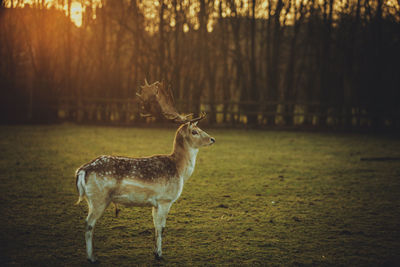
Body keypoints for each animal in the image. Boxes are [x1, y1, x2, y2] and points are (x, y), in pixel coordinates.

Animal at [73, 80, 214, 264]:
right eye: (195, 131)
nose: (212, 139)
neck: (180, 170)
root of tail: (81, 171)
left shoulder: (155, 203)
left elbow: (155, 227)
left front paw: (155, 252)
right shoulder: (165, 199)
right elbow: (162, 228)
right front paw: (160, 254)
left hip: (92, 199)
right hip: (99, 198)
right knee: (89, 223)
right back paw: (92, 258)